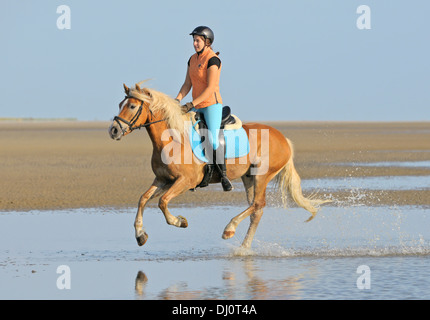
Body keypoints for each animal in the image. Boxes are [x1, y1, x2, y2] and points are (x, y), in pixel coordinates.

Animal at [109, 81, 330, 249]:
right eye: (120, 103)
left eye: (131, 106)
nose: (113, 130)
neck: (173, 139)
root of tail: (283, 138)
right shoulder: (163, 179)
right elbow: (143, 199)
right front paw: (140, 235)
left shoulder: (185, 181)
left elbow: (162, 202)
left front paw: (179, 221)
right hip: (249, 178)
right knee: (256, 209)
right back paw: (244, 247)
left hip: (262, 176)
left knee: (259, 204)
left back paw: (229, 229)